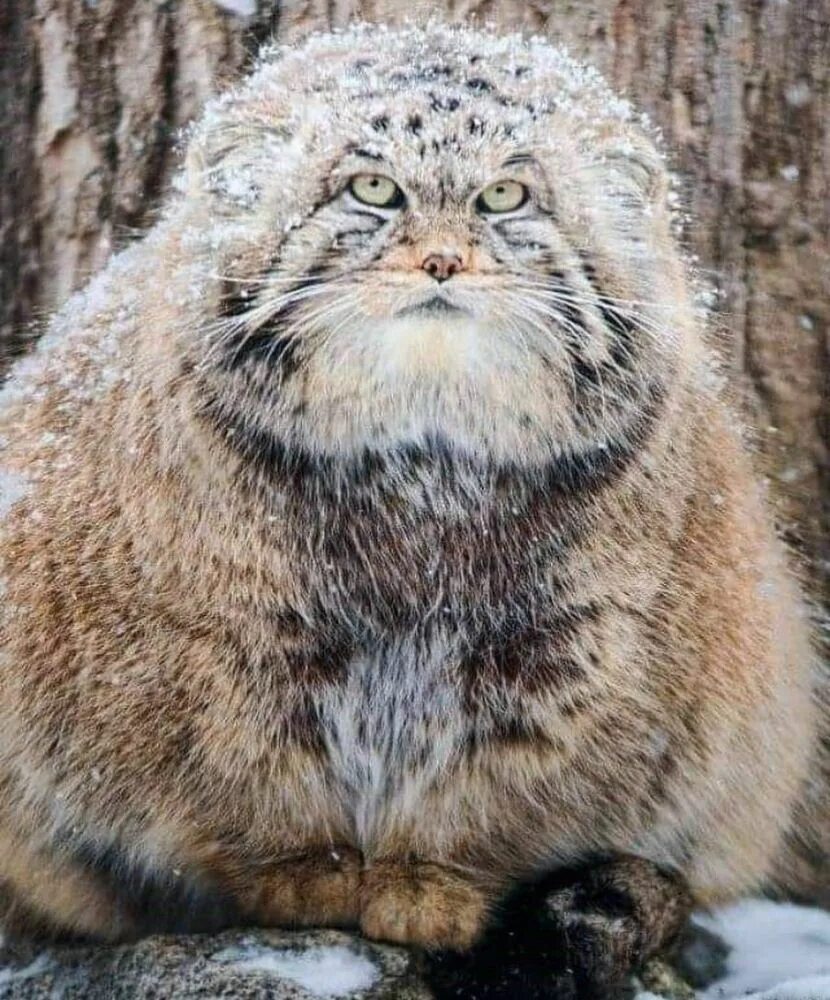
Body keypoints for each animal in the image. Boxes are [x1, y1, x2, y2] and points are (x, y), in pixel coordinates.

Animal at [0, 17, 824, 1000]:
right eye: (373, 189)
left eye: (504, 196)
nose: (441, 261)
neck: (422, 476)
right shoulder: (219, 655)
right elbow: (253, 790)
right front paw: (308, 876)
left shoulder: (565, 660)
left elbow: (486, 802)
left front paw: (430, 885)